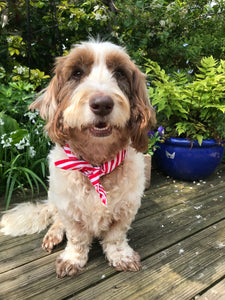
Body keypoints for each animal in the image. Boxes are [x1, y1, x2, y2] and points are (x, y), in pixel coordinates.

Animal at [0, 40, 155, 278]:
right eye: (77, 73)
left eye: (120, 73)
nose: (102, 104)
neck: (96, 163)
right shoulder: (70, 209)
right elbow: (77, 238)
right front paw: (72, 259)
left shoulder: (126, 209)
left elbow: (116, 237)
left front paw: (121, 256)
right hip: (54, 197)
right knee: (56, 220)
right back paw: (53, 235)